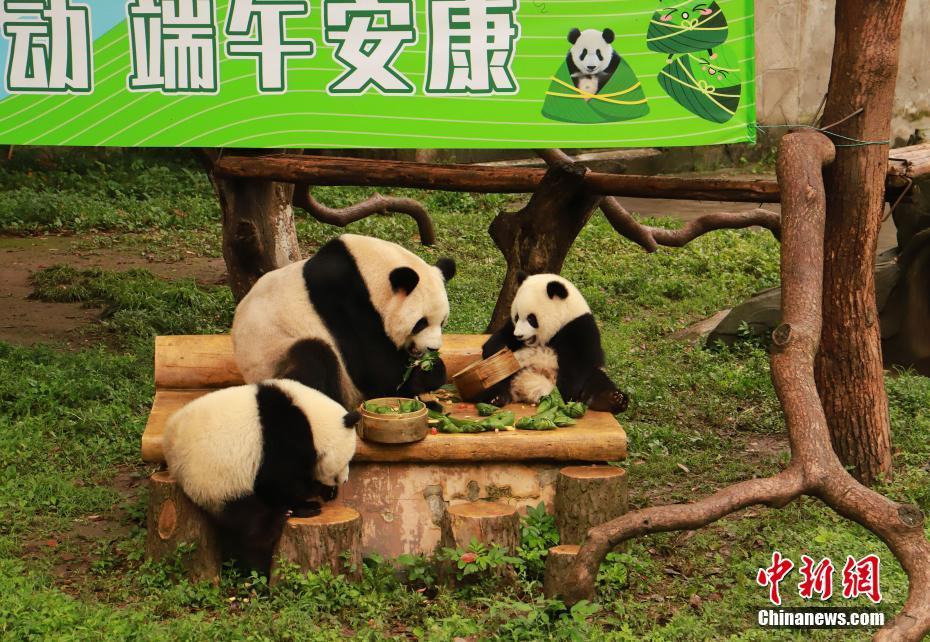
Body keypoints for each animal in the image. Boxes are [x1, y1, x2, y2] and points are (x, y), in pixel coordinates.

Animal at [163, 378, 358, 572]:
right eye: (347, 460)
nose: (345, 480)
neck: (312, 422)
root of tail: (171, 455)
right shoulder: (283, 437)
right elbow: (280, 482)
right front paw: (310, 500)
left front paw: (327, 492)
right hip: (215, 478)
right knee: (246, 515)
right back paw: (281, 519)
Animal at [232, 234, 456, 404]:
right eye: (420, 323)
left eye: (442, 322)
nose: (433, 348)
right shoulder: (347, 303)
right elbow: (377, 370)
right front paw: (426, 375)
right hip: (273, 358)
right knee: (312, 356)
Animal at [474, 272, 628, 412]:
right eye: (517, 317)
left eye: (531, 318)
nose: (519, 335)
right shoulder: (510, 328)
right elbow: (494, 344)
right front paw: (499, 355)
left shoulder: (579, 328)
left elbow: (579, 365)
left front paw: (566, 393)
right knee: (498, 380)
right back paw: (494, 398)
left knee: (598, 382)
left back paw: (614, 399)